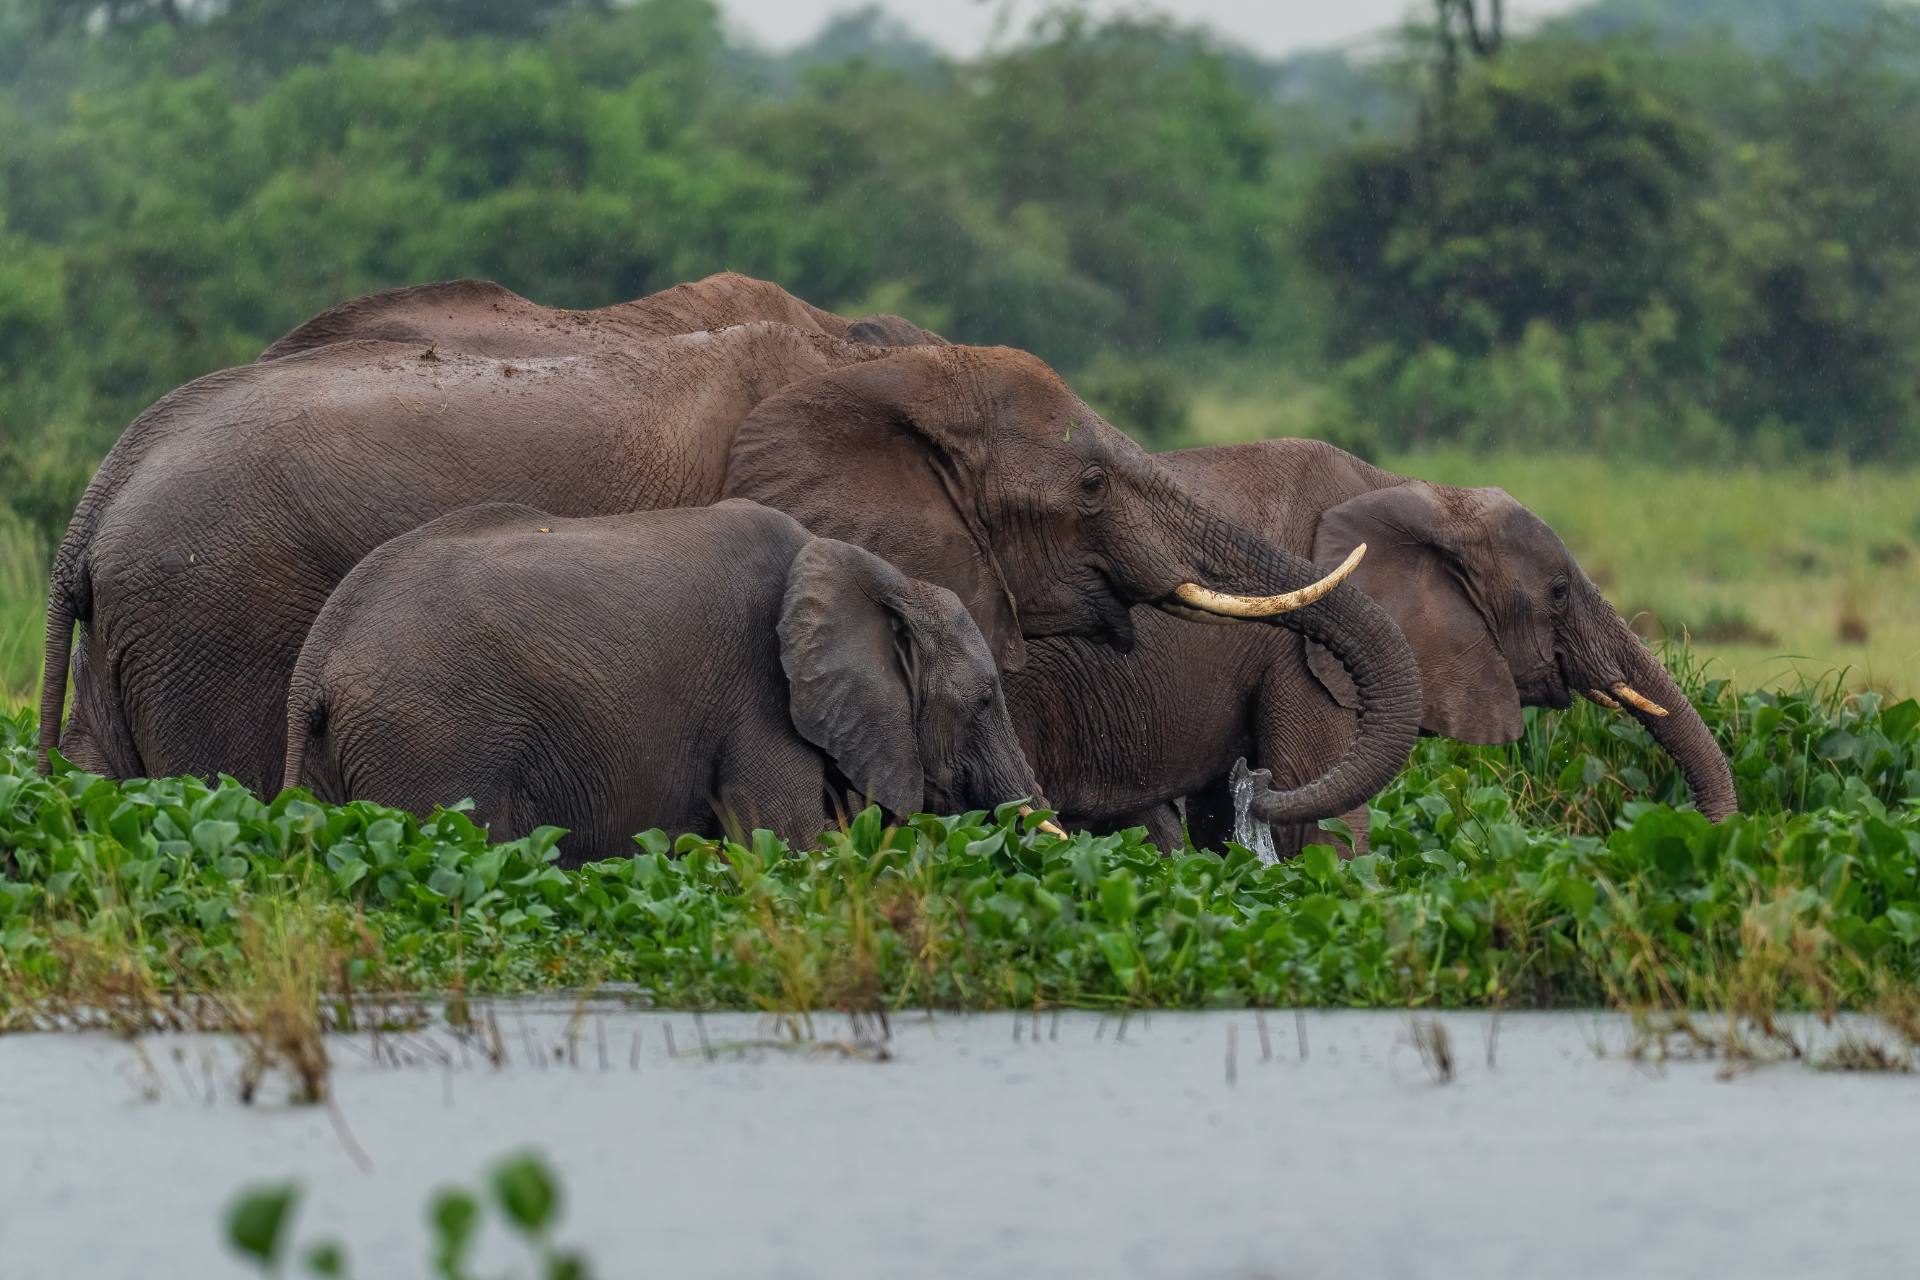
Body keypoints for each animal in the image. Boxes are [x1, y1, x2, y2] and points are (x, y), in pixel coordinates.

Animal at [283, 501, 1047, 860]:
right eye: (984, 700)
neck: (875, 574)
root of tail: (316, 663)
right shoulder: (758, 699)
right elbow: (784, 842)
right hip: (433, 745)